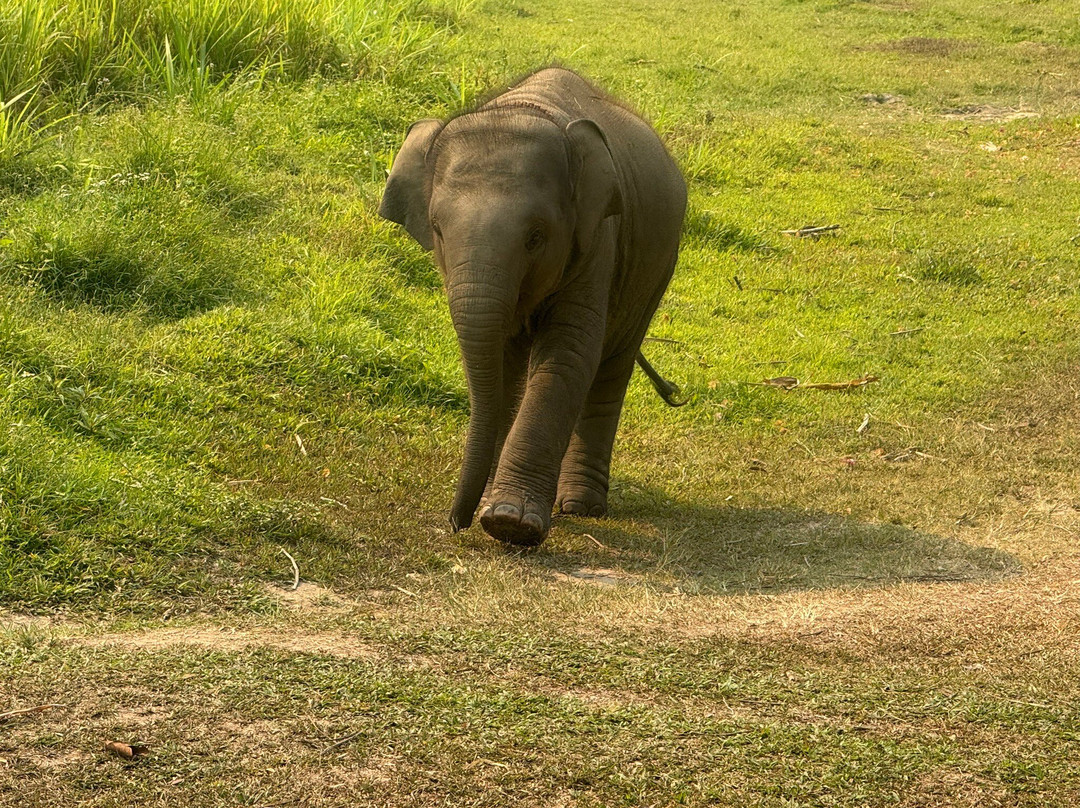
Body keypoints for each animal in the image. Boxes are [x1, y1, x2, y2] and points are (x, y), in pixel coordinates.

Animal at [379, 67, 686, 546]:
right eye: (437, 229)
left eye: (536, 237)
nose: (456, 522)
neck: (526, 108)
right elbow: (500, 366)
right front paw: (494, 506)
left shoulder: (598, 240)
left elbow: (568, 355)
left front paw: (511, 523)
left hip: (656, 269)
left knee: (611, 368)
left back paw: (579, 507)